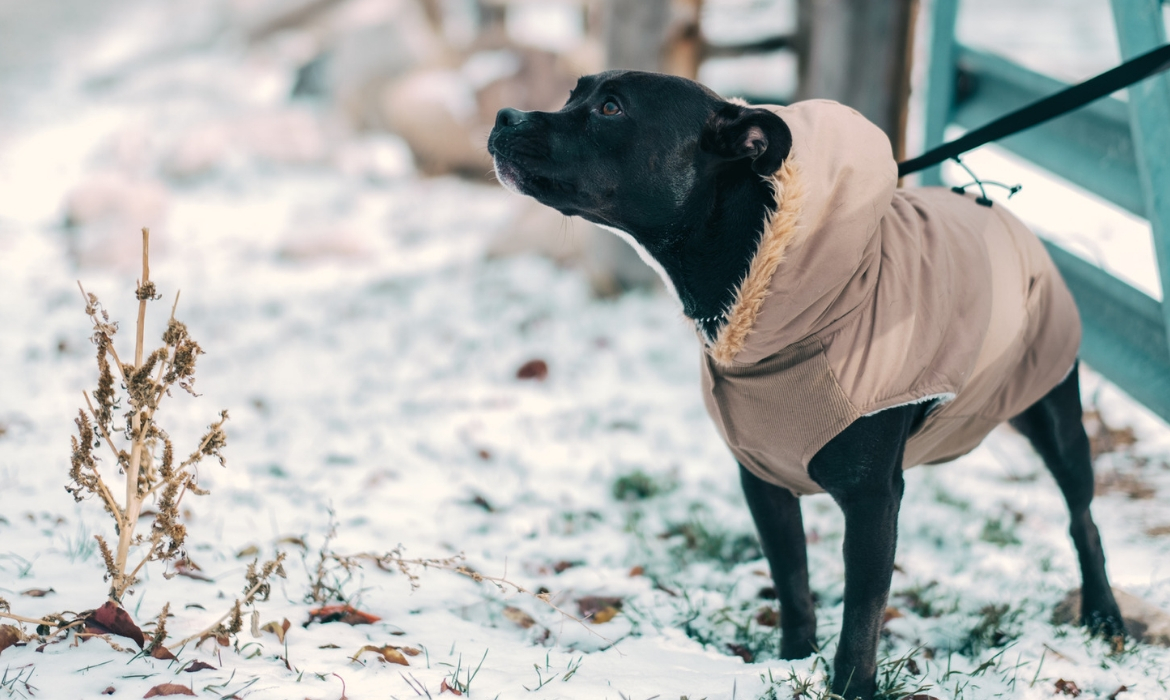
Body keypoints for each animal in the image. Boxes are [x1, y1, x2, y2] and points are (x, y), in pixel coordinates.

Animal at [486, 72, 1123, 700]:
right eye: (574, 94)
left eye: (611, 109)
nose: (504, 116)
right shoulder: (763, 480)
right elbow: (792, 580)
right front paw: (794, 658)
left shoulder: (871, 499)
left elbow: (862, 614)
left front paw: (850, 688)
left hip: (1055, 412)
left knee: (1083, 518)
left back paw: (1104, 616)